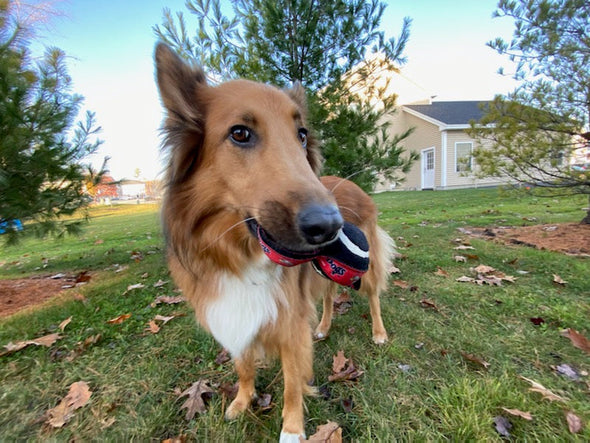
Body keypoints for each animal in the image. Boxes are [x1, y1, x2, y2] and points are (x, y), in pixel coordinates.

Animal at [155, 43, 396, 442]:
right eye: (239, 133)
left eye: (301, 135)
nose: (330, 227)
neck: (239, 254)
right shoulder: (235, 312)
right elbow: (243, 366)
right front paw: (242, 401)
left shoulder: (290, 322)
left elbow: (292, 383)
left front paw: (292, 429)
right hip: (327, 272)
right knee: (329, 295)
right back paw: (324, 326)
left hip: (366, 269)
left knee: (374, 296)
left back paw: (378, 332)